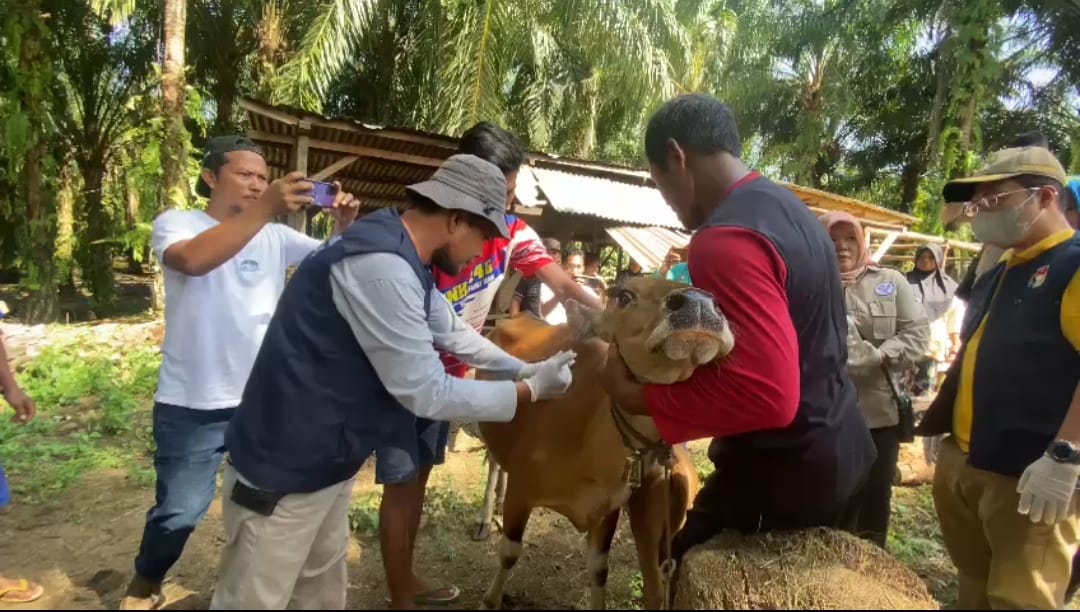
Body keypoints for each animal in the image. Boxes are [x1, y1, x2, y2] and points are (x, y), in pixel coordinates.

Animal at [473, 278, 734, 612]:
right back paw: (484, 518)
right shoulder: (522, 490)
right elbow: (509, 552)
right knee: (494, 462)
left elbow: (599, 569)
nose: (699, 303)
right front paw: (490, 600)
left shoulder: (608, 508)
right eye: (623, 295)